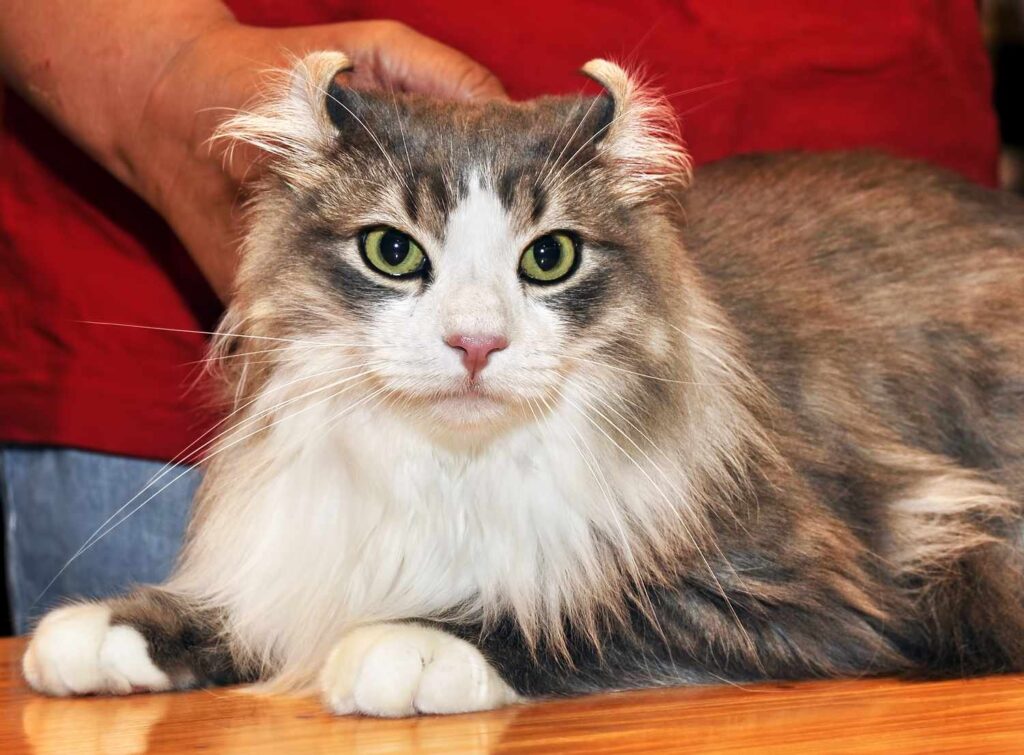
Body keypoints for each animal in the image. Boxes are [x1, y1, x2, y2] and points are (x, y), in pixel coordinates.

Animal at [22, 54, 1024, 717]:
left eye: (549, 258)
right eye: (392, 252)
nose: (476, 341)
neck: (453, 470)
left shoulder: (803, 586)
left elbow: (567, 612)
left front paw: (405, 642)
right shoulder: (306, 551)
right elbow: (249, 603)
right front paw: (107, 633)